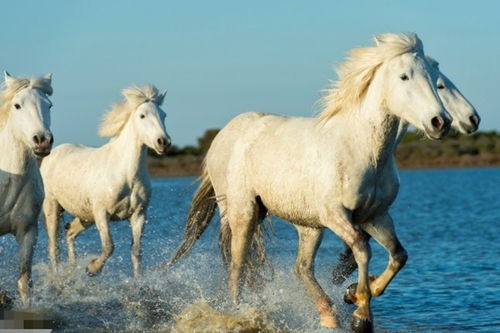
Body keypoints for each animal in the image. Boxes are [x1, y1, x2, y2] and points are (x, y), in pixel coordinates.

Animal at [41, 84, 170, 276]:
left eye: (164, 115)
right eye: (142, 115)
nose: (163, 142)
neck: (126, 175)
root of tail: (51, 154)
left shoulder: (138, 215)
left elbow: (136, 252)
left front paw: (138, 281)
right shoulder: (102, 213)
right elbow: (109, 246)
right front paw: (92, 268)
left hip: (85, 215)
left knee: (69, 232)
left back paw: (72, 270)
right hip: (53, 206)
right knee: (53, 248)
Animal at [162, 31, 452, 332]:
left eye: (434, 78)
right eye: (404, 77)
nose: (440, 122)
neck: (362, 150)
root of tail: (223, 135)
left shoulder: (376, 215)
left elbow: (398, 255)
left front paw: (353, 294)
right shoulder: (336, 215)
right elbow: (362, 249)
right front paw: (361, 316)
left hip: (307, 225)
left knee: (301, 268)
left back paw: (328, 315)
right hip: (243, 212)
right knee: (237, 269)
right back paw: (239, 313)